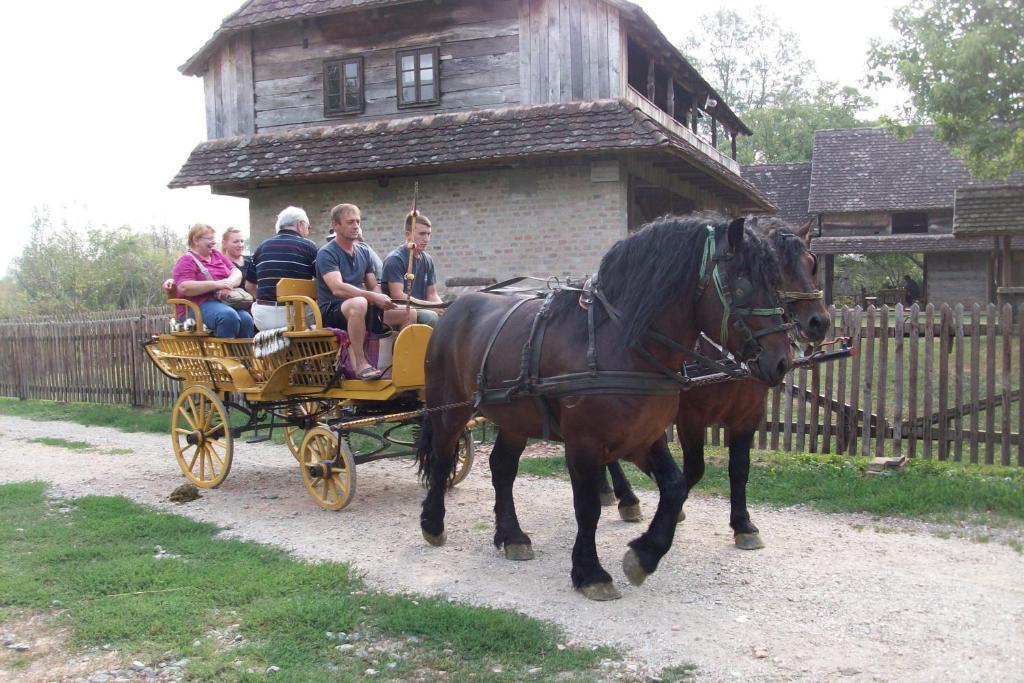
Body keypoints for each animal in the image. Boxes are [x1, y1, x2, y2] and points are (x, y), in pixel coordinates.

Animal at [413, 211, 790, 598]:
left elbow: (675, 487)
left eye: (776, 283)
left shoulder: (645, 437)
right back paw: (433, 523)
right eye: (742, 285)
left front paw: (644, 555)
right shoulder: (584, 443)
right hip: (450, 408)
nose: (781, 361)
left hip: (515, 419)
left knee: (502, 467)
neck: (620, 344)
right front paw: (591, 572)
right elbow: (588, 506)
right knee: (442, 458)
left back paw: (512, 536)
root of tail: (454, 308)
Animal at [598, 216, 831, 548]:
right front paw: (671, 514)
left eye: (811, 264)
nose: (819, 322)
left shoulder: (748, 415)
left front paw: (743, 524)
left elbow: (739, 468)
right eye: (779, 272)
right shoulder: (690, 417)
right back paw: (625, 497)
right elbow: (693, 471)